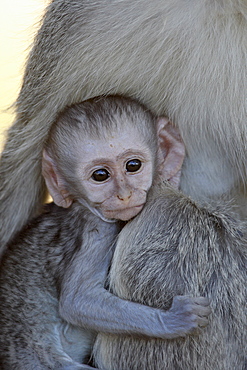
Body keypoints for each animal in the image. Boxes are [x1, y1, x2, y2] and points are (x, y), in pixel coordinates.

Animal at [0, 96, 210, 370]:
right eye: (100, 175)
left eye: (133, 166)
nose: (124, 194)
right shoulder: (98, 231)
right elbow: (77, 300)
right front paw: (172, 321)